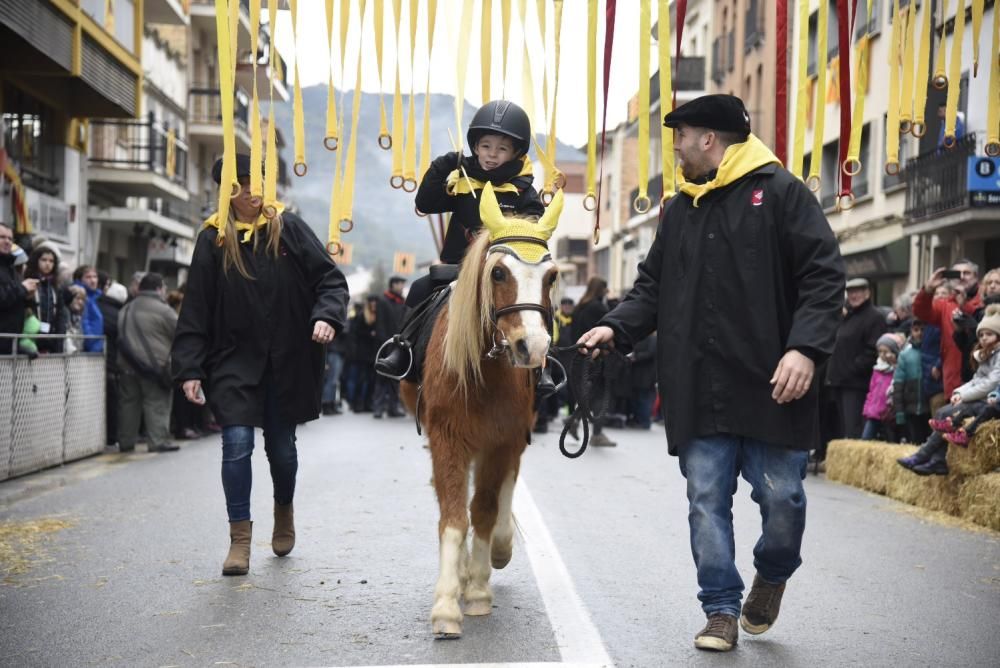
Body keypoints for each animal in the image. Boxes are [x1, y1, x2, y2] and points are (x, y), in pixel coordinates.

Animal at [398, 181, 564, 636]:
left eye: (552, 276)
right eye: (499, 273)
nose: (532, 347)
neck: (485, 371)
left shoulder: (502, 440)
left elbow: (486, 509)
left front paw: (475, 591)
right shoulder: (447, 439)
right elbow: (455, 517)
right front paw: (445, 605)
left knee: (503, 492)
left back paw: (495, 555)